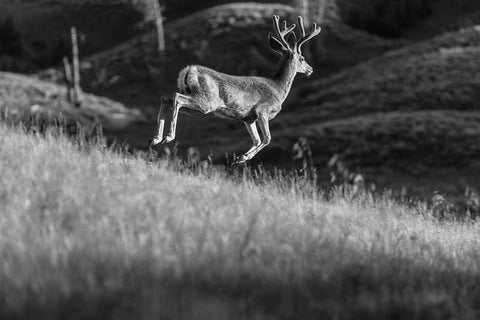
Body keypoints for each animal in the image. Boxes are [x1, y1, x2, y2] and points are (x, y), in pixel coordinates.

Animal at [149, 15, 322, 164]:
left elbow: (256, 139)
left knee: (167, 99)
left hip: (194, 101)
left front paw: (240, 158)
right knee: (177, 98)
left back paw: (155, 139)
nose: (311, 69)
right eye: (302, 58)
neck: (278, 87)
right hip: (207, 101)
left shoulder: (248, 118)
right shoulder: (262, 110)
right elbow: (267, 138)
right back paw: (168, 137)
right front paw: (244, 157)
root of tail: (189, 69)